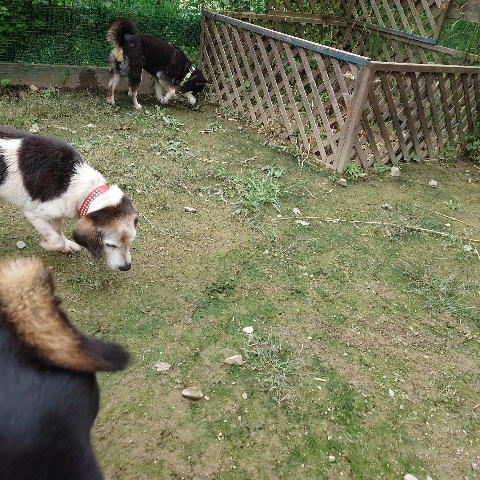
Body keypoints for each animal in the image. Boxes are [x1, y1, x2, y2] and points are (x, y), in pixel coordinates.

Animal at [0, 126, 138, 271]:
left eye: (130, 241)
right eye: (110, 245)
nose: (126, 267)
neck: (74, 181)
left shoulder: (57, 213)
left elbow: (57, 232)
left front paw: (66, 245)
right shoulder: (33, 215)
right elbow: (56, 240)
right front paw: (46, 244)